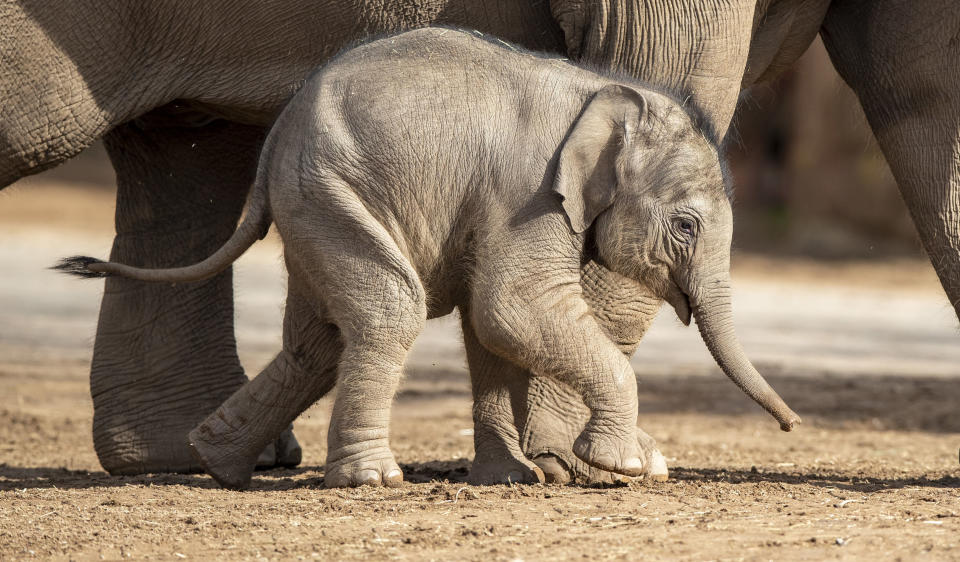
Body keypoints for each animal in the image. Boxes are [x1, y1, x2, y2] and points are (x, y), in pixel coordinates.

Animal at [1, 1, 960, 482]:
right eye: (685, 226)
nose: (795, 428)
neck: (603, 97)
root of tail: (277, 151)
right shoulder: (529, 196)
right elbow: (510, 309)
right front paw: (617, 467)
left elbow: (490, 325)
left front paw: (523, 476)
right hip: (334, 191)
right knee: (382, 314)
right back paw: (368, 481)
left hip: (325, 202)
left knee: (320, 331)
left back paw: (216, 462)